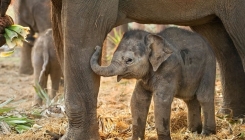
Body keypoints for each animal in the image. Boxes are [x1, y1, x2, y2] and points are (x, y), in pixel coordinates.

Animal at [50, 0, 245, 139]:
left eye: (129, 60)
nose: (98, 49)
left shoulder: (169, 69)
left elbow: (84, 29)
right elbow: (137, 100)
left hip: (208, 68)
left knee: (204, 95)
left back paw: (208, 132)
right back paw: (215, 123)